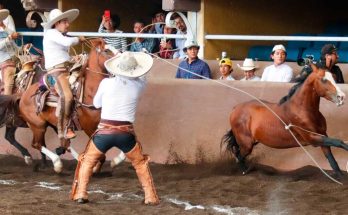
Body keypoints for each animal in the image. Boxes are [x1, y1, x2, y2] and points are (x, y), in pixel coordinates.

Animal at [18, 38, 115, 172]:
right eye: (106, 50)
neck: (90, 93)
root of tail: (24, 95)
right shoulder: (90, 127)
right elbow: (99, 152)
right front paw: (95, 167)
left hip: (54, 124)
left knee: (63, 144)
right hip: (38, 125)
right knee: (37, 144)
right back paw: (57, 163)